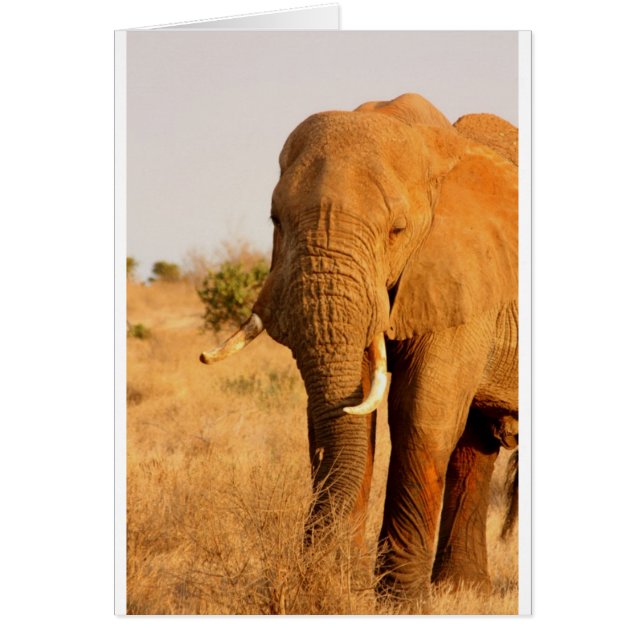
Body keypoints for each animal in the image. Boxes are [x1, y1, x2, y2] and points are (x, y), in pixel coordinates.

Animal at [200, 93, 519, 599]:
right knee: (476, 443)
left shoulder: (464, 273)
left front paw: (401, 601)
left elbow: (421, 416)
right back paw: (462, 591)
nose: (320, 571)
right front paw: (343, 582)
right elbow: (349, 416)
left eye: (397, 230)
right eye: (275, 220)